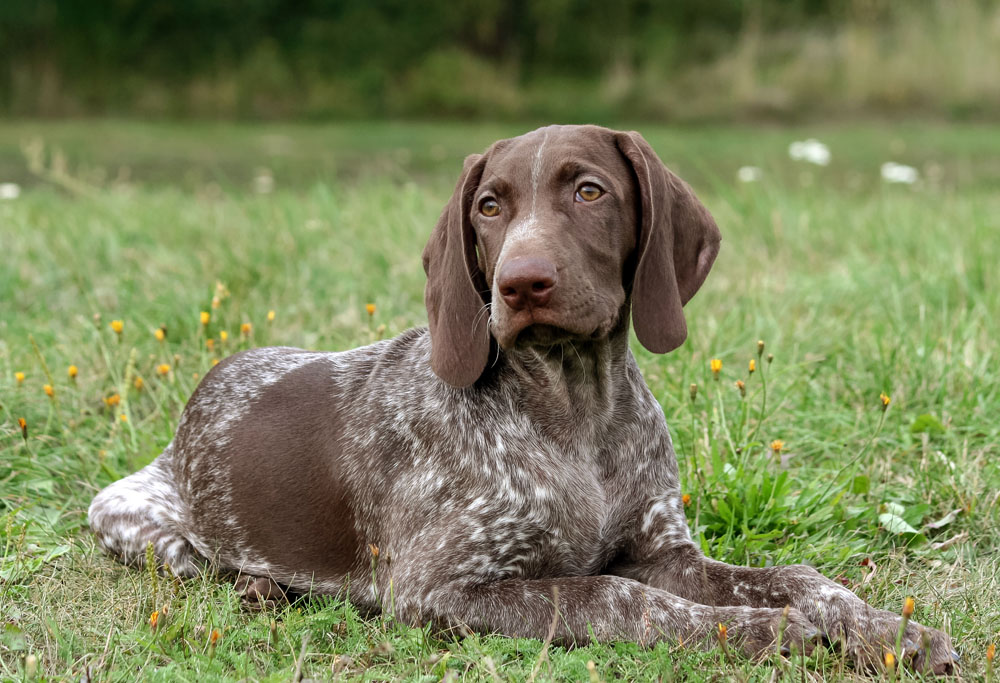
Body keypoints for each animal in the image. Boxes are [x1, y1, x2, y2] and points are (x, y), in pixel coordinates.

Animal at [90, 124, 956, 672]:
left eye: (589, 190)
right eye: (489, 205)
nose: (521, 282)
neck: (575, 410)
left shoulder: (665, 551)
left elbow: (804, 576)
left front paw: (888, 629)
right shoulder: (440, 588)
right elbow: (617, 596)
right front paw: (764, 630)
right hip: (125, 515)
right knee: (197, 560)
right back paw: (260, 584)